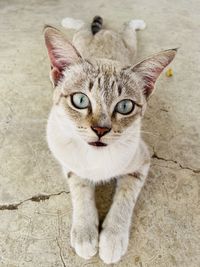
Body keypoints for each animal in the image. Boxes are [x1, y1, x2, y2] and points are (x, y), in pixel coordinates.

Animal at [43, 15, 177, 264]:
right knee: (84, 26)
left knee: (126, 30)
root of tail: (100, 33)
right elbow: (81, 189)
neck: (97, 158)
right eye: (80, 100)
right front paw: (85, 233)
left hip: (129, 46)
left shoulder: (142, 162)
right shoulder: (69, 162)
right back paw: (71, 21)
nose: (100, 129)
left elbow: (125, 197)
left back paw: (134, 23)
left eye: (124, 106)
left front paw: (112, 238)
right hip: (82, 37)